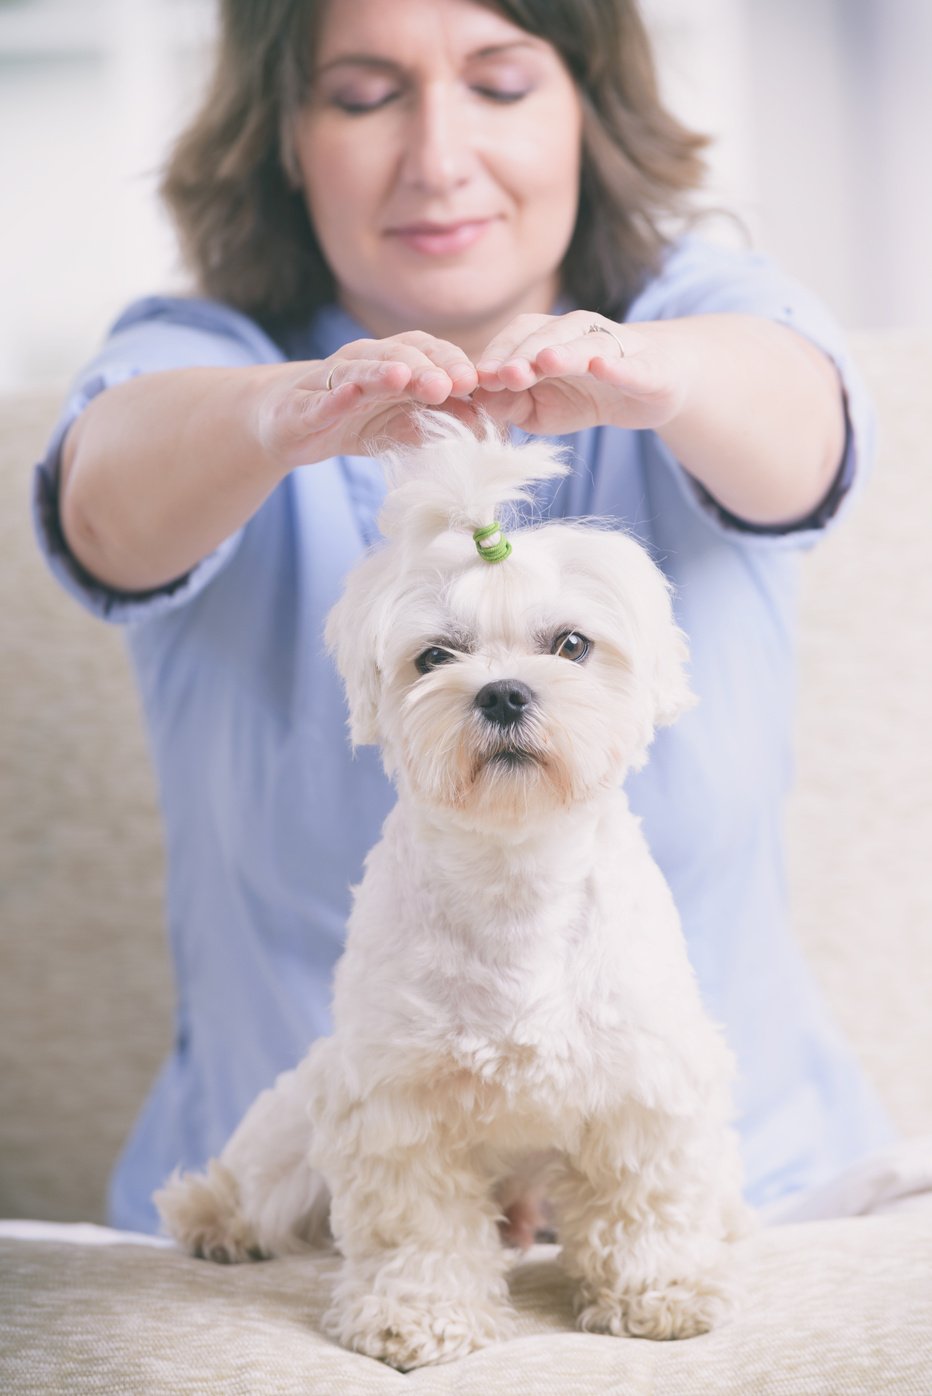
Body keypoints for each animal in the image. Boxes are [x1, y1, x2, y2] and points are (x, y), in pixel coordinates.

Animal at [152, 407, 747, 1368]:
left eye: (571, 645)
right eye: (434, 657)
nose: (503, 693)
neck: (515, 876)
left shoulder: (642, 1084)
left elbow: (646, 1205)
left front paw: (663, 1294)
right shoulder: (398, 1101)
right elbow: (417, 1228)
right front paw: (419, 1316)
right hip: (299, 1116)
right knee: (262, 1182)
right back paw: (217, 1219)